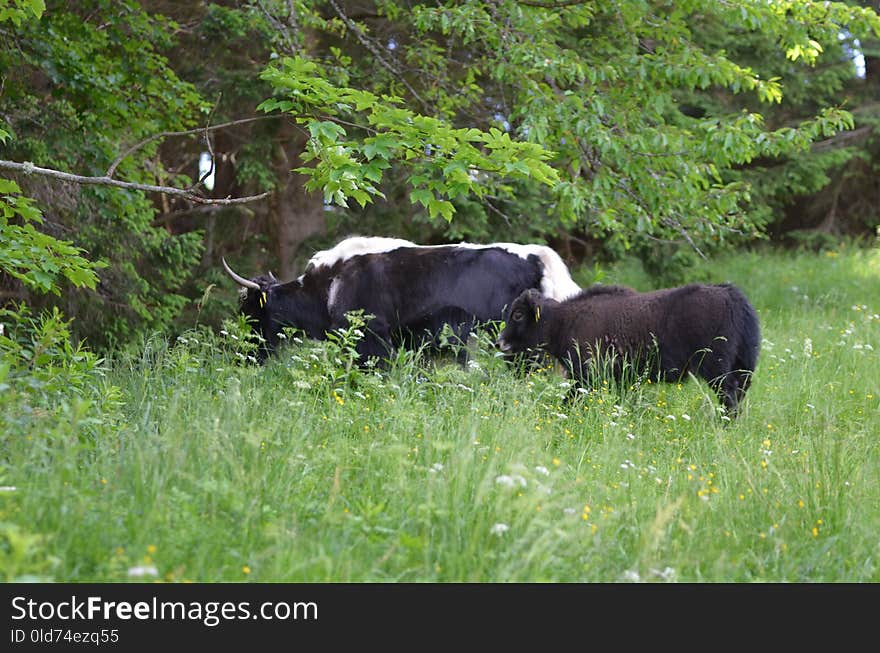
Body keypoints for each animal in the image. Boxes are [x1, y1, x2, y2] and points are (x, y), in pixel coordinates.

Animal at [498, 282, 760, 416]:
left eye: (518, 314)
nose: (501, 342)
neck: (562, 321)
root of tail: (730, 295)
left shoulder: (586, 377)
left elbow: (569, 400)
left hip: (716, 369)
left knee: (729, 395)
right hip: (741, 367)